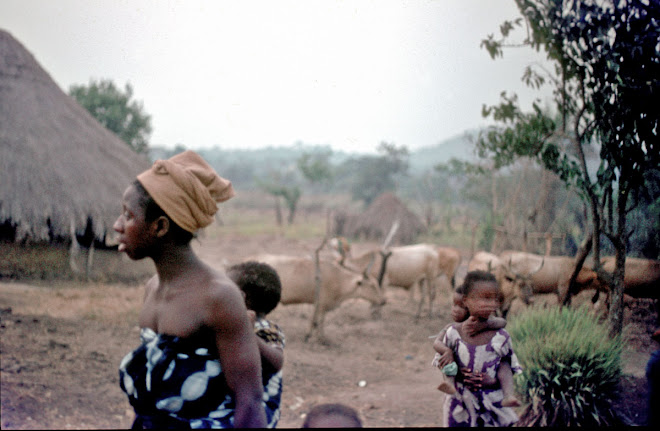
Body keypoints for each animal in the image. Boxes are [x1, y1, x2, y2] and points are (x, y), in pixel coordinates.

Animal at [245, 255, 384, 342]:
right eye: (372, 285)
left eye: (376, 284)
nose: (383, 301)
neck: (339, 280)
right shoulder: (322, 304)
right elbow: (319, 321)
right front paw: (320, 339)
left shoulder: (318, 304)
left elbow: (315, 320)